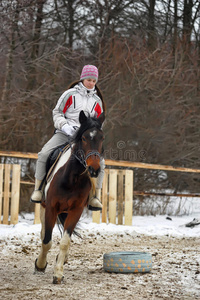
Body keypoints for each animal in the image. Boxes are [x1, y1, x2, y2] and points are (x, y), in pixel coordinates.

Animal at [34, 110, 104, 284]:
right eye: (84, 138)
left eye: (102, 138)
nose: (94, 169)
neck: (73, 178)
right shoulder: (51, 208)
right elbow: (47, 240)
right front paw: (40, 264)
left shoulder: (75, 211)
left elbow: (65, 241)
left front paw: (58, 273)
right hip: (44, 208)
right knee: (43, 233)